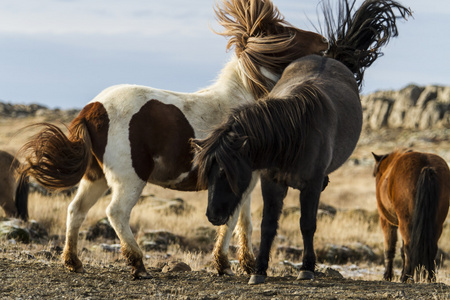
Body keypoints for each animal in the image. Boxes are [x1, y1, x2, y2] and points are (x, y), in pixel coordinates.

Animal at [16, 0, 326, 278]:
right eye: (285, 31)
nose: (323, 41)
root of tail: (93, 109)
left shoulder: (245, 184)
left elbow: (245, 223)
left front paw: (245, 265)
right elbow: (231, 221)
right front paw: (224, 266)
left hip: (96, 177)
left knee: (75, 210)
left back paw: (73, 262)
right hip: (129, 179)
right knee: (116, 213)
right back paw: (138, 265)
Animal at [372, 151, 450, 282]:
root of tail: (426, 165)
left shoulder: (386, 221)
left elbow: (390, 248)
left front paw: (388, 276)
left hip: (405, 222)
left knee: (409, 248)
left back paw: (406, 277)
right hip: (437, 223)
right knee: (431, 248)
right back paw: (430, 278)